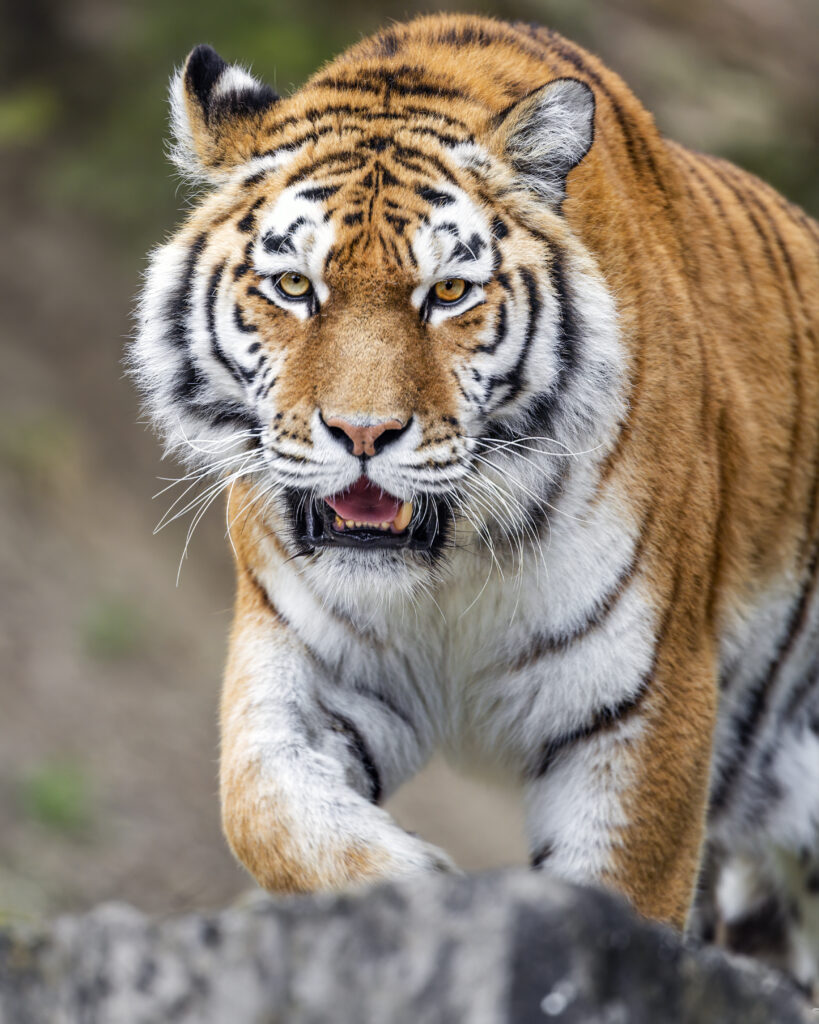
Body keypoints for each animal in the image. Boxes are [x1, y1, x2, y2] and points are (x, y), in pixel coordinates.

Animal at [130, 12, 819, 993]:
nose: (364, 433)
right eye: (295, 286)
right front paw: (422, 890)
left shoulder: (644, 706)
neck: (451, 564)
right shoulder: (304, 657)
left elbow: (624, 905)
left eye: (448, 292)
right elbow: (266, 813)